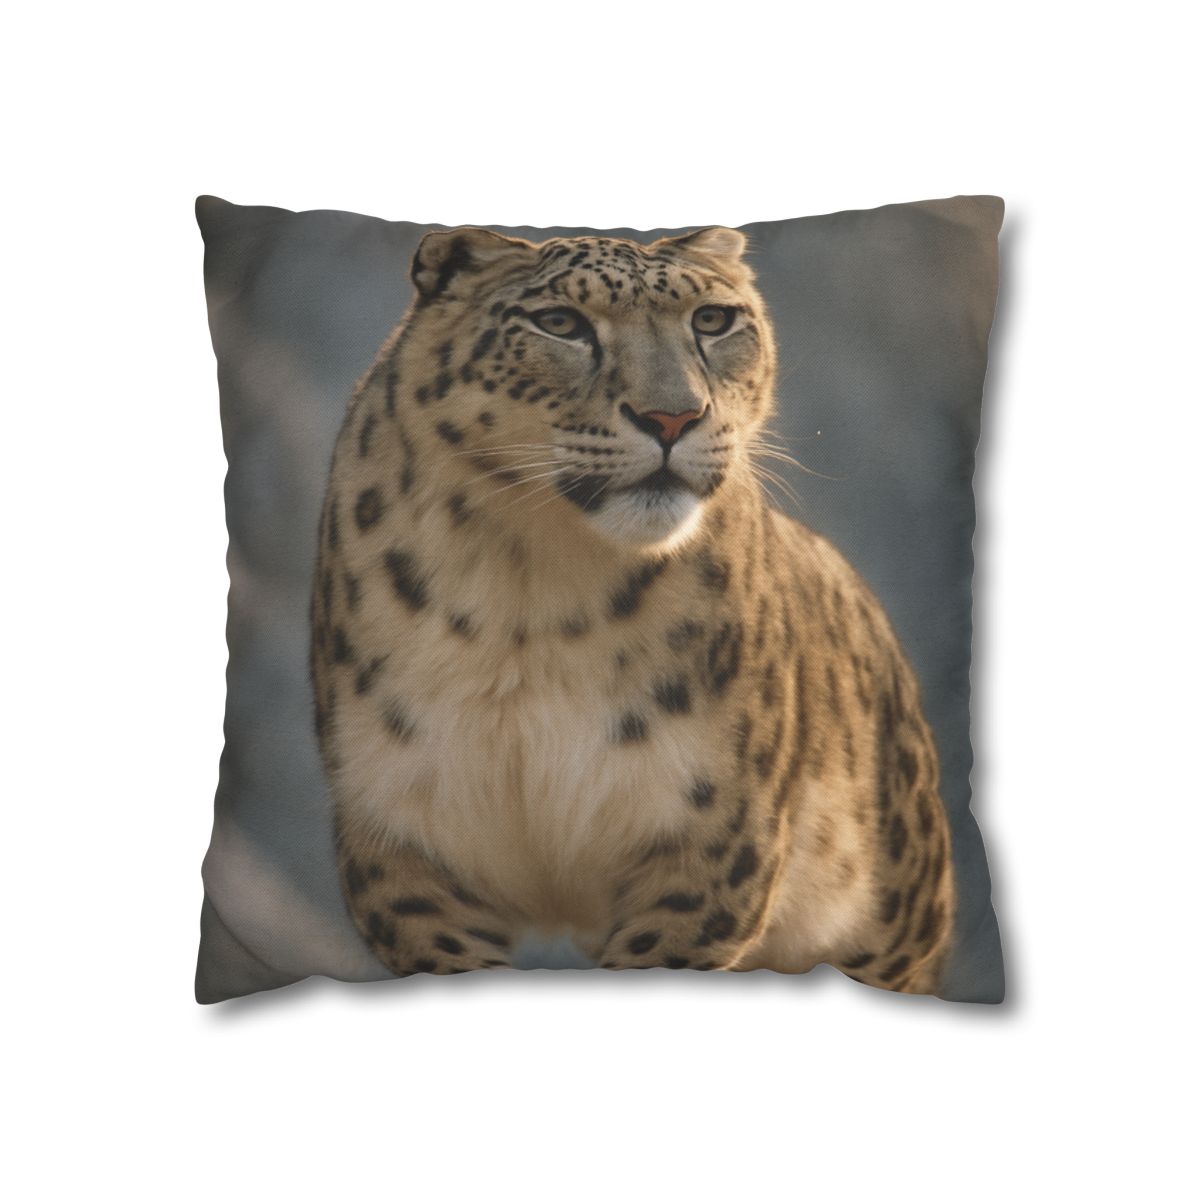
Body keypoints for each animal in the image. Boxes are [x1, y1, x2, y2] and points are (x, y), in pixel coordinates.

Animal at [310, 224, 956, 993]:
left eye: (712, 320)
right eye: (560, 323)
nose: (672, 416)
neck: (530, 590)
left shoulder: (712, 839)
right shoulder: (403, 840)